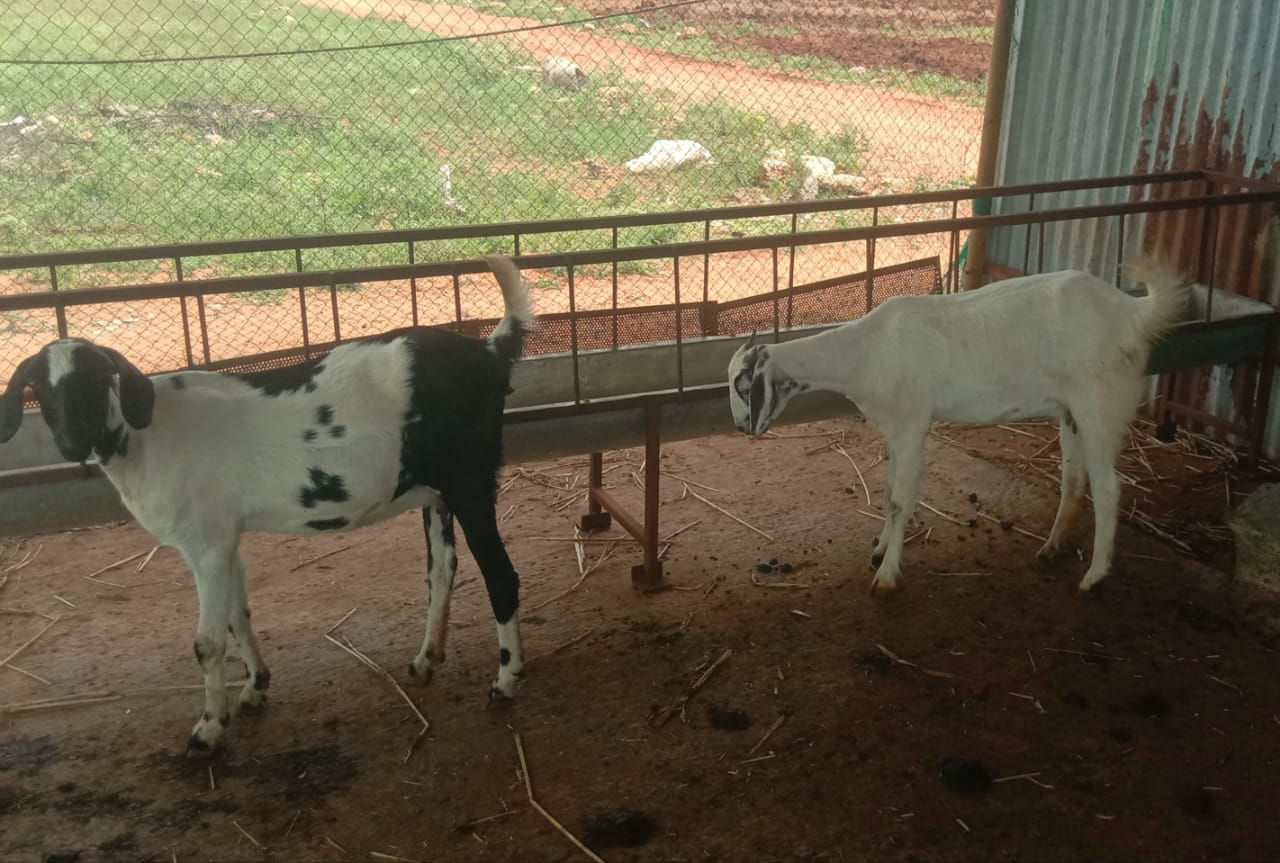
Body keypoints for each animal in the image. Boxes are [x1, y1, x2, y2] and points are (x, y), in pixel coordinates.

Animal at [0, 255, 535, 754]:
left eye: (97, 380)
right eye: (38, 389)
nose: (72, 441)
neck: (147, 438)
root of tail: (488, 350)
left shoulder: (204, 543)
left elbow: (207, 641)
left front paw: (208, 729)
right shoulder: (225, 536)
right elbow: (239, 614)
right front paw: (255, 689)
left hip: (470, 480)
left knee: (502, 576)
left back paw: (505, 682)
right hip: (436, 492)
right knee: (441, 570)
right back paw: (425, 660)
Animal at [727, 256, 1188, 593]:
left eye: (742, 384)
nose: (741, 428)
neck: (867, 351)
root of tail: (1133, 311)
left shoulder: (913, 421)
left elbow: (901, 500)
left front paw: (887, 575)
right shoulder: (894, 426)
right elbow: (890, 492)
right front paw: (879, 550)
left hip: (1101, 405)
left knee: (1109, 488)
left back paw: (1093, 577)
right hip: (1072, 410)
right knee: (1074, 480)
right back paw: (1052, 548)